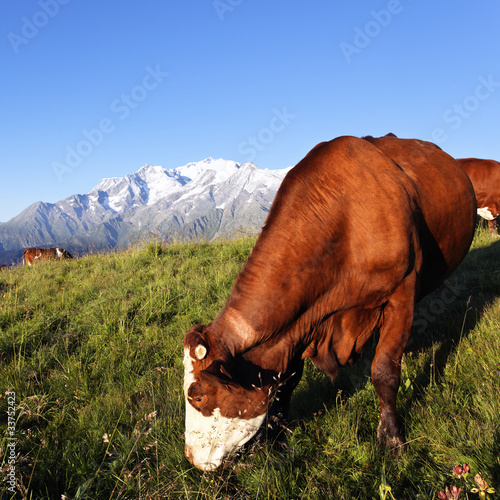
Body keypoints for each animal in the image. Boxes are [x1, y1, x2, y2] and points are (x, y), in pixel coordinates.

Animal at [183, 135, 476, 470]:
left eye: (199, 396)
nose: (191, 458)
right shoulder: (298, 325)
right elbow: (288, 380)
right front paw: (276, 437)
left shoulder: (401, 291)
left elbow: (384, 372)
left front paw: (392, 440)